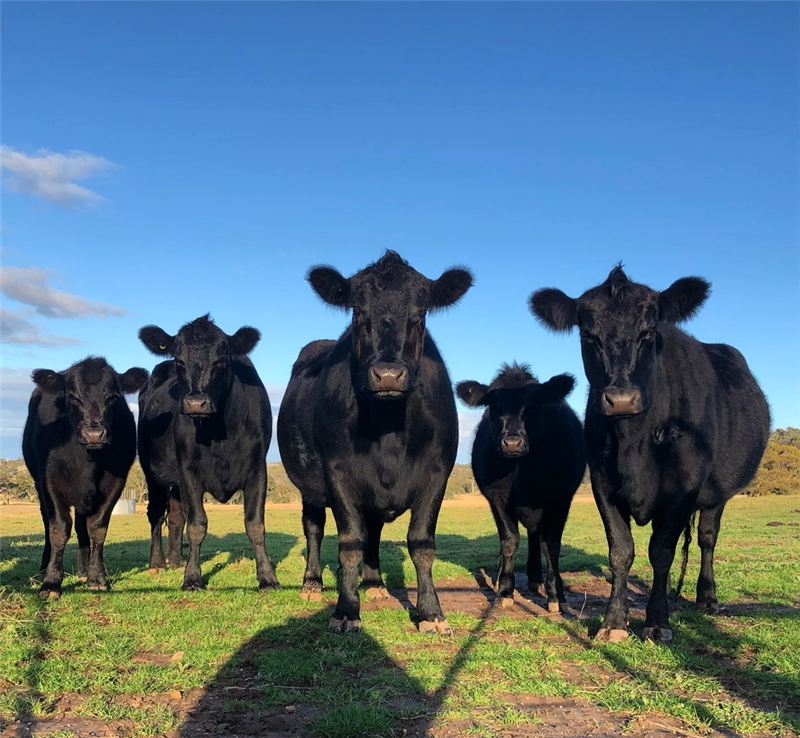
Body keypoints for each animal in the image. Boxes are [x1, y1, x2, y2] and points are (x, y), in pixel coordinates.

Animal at [22, 356, 148, 598]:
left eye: (113, 397)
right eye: (72, 396)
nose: (94, 434)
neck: (87, 461)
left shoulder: (115, 483)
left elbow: (97, 528)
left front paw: (97, 577)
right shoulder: (50, 482)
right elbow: (59, 528)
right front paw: (51, 582)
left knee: (82, 525)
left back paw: (83, 570)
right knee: (48, 522)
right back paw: (43, 569)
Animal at [138, 315, 279, 591]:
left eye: (221, 360)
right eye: (179, 360)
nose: (195, 403)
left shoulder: (258, 469)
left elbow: (255, 524)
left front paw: (267, 577)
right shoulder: (188, 472)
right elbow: (197, 525)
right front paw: (193, 578)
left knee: (175, 517)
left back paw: (176, 560)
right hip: (152, 473)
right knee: (156, 515)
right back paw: (157, 562)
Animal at [277, 251, 473, 634]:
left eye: (421, 313)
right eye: (357, 312)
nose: (388, 375)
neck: (388, 433)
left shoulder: (438, 473)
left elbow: (421, 543)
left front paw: (431, 612)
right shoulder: (337, 472)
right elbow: (350, 541)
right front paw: (346, 610)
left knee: (375, 530)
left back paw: (374, 583)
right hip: (308, 486)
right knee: (314, 528)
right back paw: (312, 583)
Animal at [456, 364, 585, 613]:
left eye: (533, 405)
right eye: (494, 406)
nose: (512, 443)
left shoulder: (560, 499)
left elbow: (551, 545)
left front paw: (556, 595)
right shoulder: (497, 499)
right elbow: (509, 540)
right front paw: (505, 591)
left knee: (537, 538)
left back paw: (539, 582)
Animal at [530, 266, 769, 642]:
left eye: (649, 332)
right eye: (588, 334)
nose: (621, 399)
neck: (634, 443)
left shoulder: (683, 488)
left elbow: (661, 552)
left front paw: (657, 621)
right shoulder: (602, 483)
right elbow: (621, 551)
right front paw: (614, 621)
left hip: (717, 494)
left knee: (707, 538)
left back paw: (707, 597)